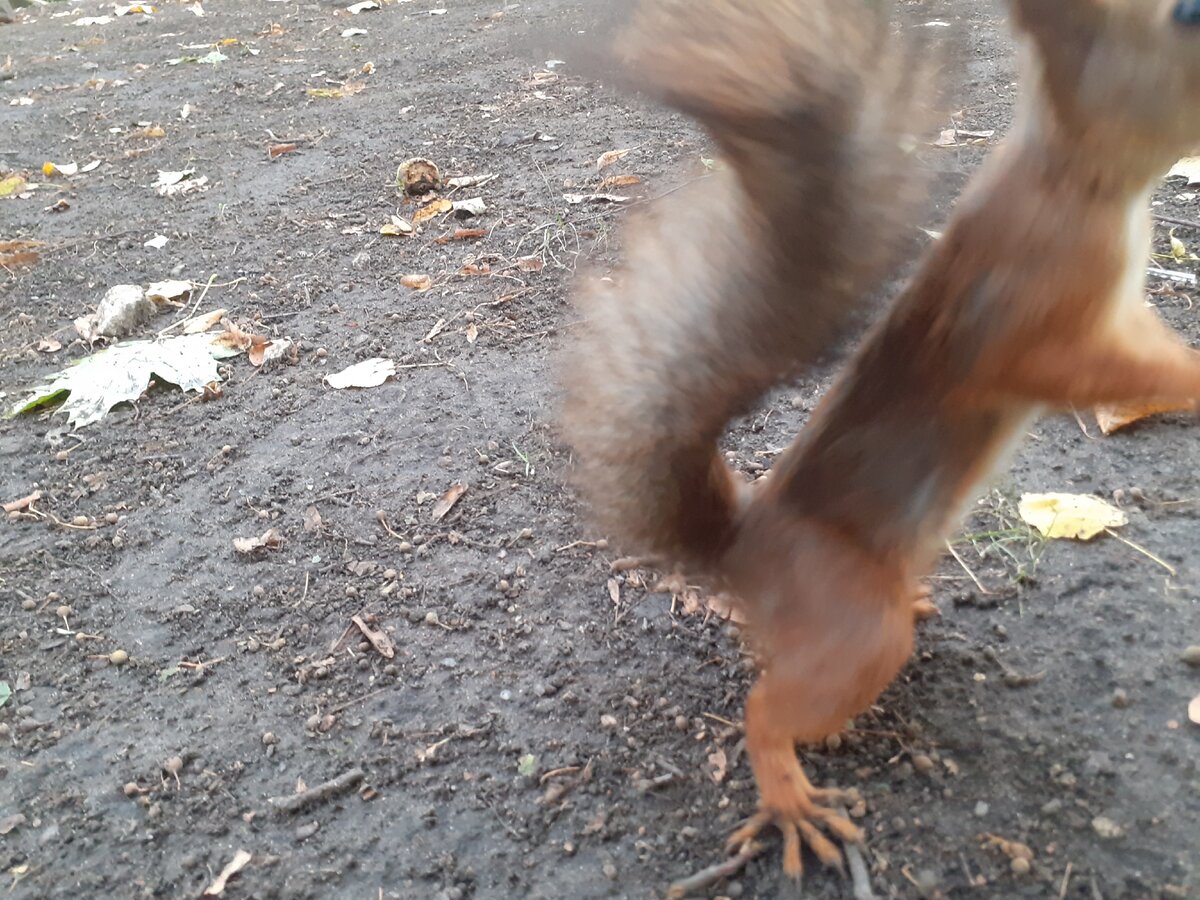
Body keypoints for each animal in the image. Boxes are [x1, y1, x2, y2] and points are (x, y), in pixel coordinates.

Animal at [561, 0, 1200, 883]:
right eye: (1185, 16)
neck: (1080, 178)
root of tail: (742, 551)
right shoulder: (1024, 314)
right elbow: (1081, 369)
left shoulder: (1123, 311)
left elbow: (1148, 349)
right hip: (859, 628)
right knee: (767, 708)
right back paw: (792, 802)